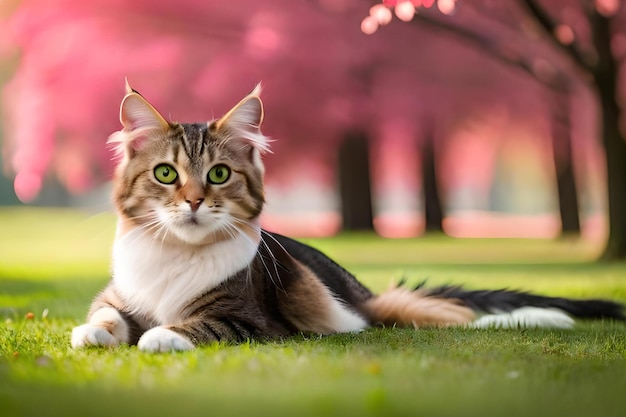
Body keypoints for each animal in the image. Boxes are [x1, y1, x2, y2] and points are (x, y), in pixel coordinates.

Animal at [69, 81, 624, 352]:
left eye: (219, 174)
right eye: (166, 174)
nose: (193, 202)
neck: (175, 256)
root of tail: (361, 295)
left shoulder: (249, 318)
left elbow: (200, 324)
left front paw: (162, 334)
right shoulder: (116, 296)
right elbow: (105, 315)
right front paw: (93, 334)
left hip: (360, 315)